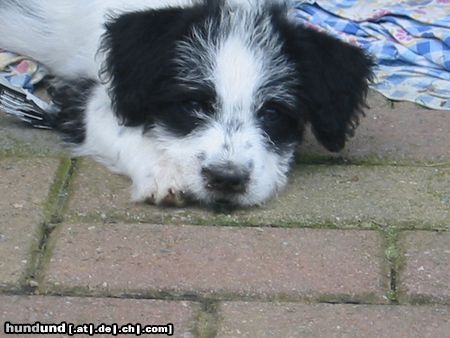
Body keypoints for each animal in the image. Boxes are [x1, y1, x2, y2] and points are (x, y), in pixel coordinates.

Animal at [0, 0, 372, 207]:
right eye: (193, 104)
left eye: (272, 112)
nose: (227, 179)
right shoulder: (89, 94)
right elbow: (122, 131)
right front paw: (163, 173)